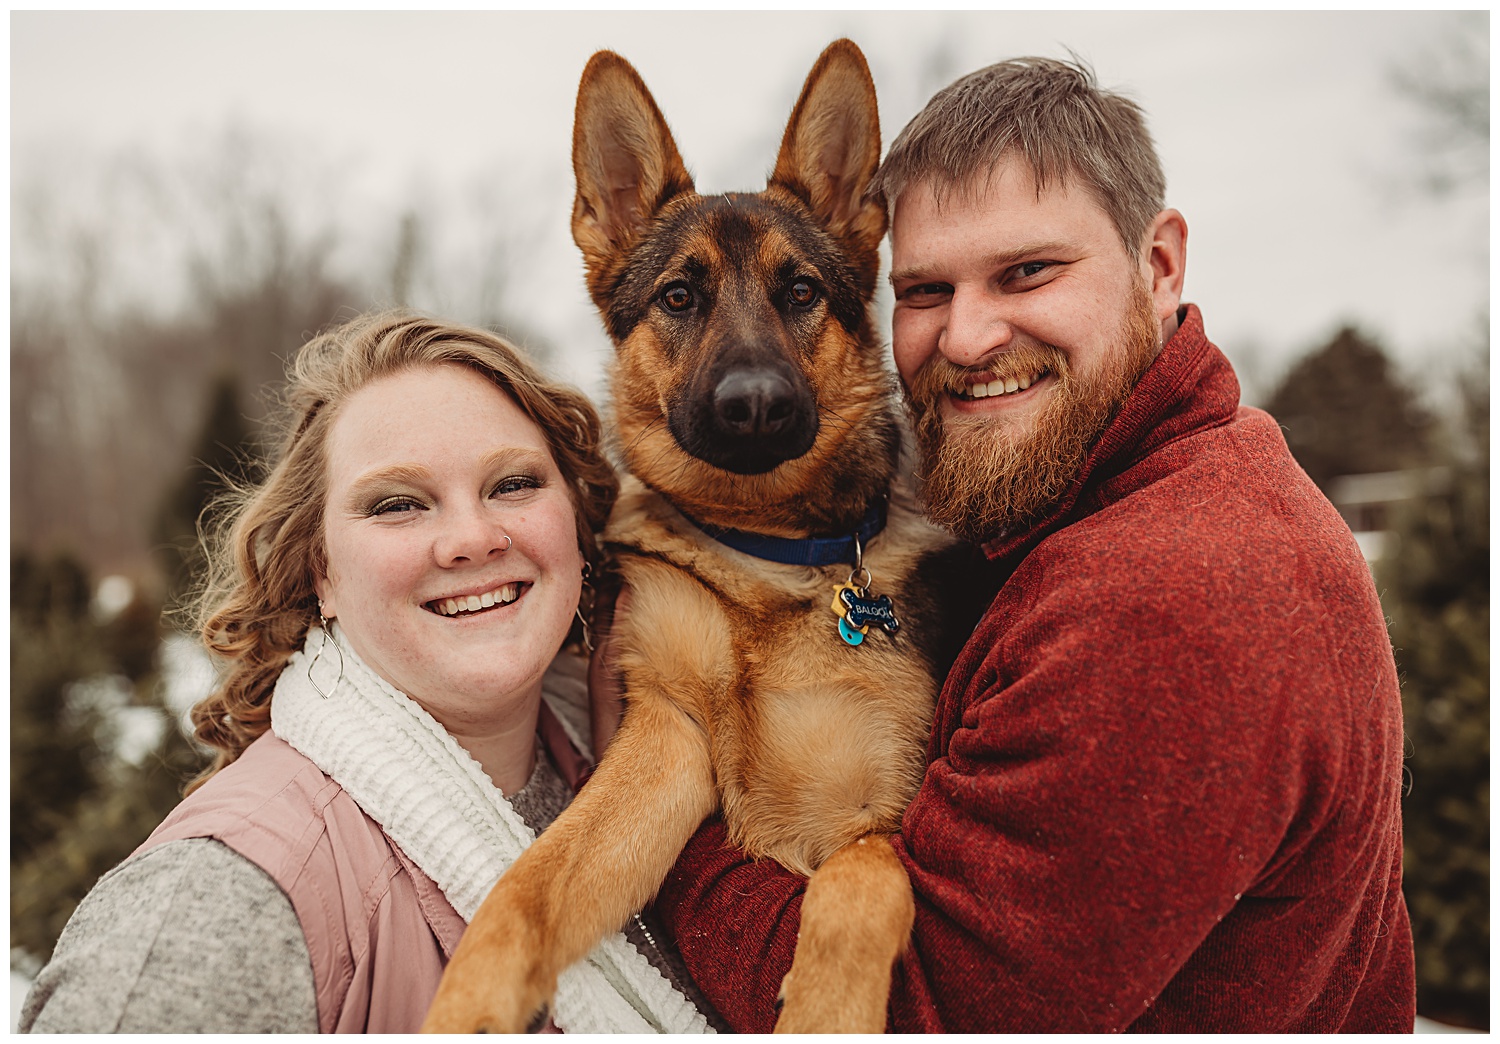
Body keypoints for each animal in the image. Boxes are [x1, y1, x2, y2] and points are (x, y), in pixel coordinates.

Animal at [423, 40, 972, 1038]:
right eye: (680, 295)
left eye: (801, 292)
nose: (753, 405)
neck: (764, 561)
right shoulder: (666, 742)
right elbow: (531, 884)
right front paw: (469, 1002)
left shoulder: (881, 806)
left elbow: (862, 877)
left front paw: (826, 1009)